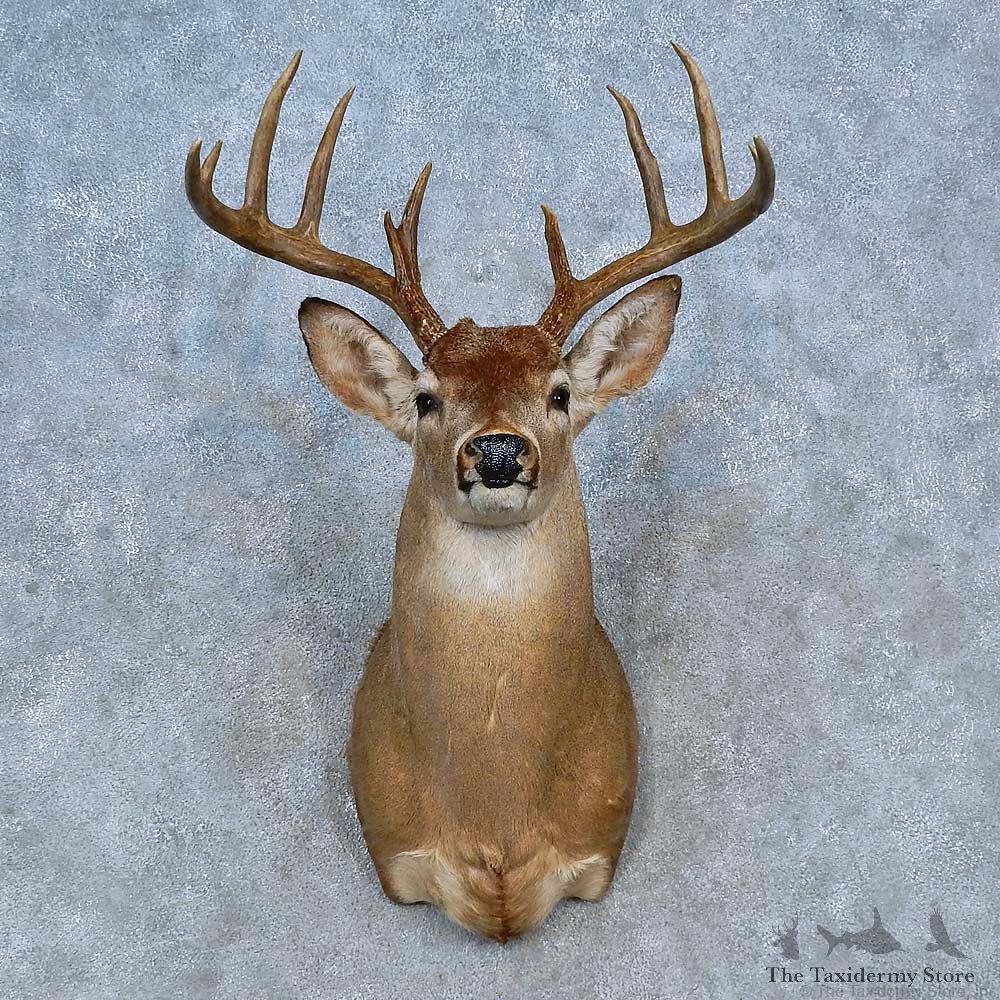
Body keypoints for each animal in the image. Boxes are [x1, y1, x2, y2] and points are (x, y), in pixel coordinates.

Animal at [185, 42, 774, 943]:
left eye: (560, 392)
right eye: (428, 397)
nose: (497, 451)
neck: (496, 823)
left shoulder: (596, 853)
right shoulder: (395, 855)